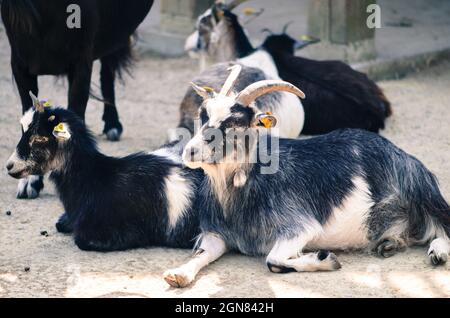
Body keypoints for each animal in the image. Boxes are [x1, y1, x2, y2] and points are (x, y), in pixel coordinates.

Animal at [1, 0, 155, 199]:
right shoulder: (20, 63)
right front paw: (29, 182)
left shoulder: (81, 61)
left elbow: (75, 110)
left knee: (108, 69)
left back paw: (112, 125)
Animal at [163, 67, 450, 288]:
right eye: (202, 115)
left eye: (235, 123)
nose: (190, 151)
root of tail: (404, 155)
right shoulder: (216, 234)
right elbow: (201, 253)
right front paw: (178, 274)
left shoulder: (299, 227)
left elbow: (273, 261)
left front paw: (326, 261)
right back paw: (390, 243)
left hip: (424, 192)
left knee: (442, 226)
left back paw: (437, 252)